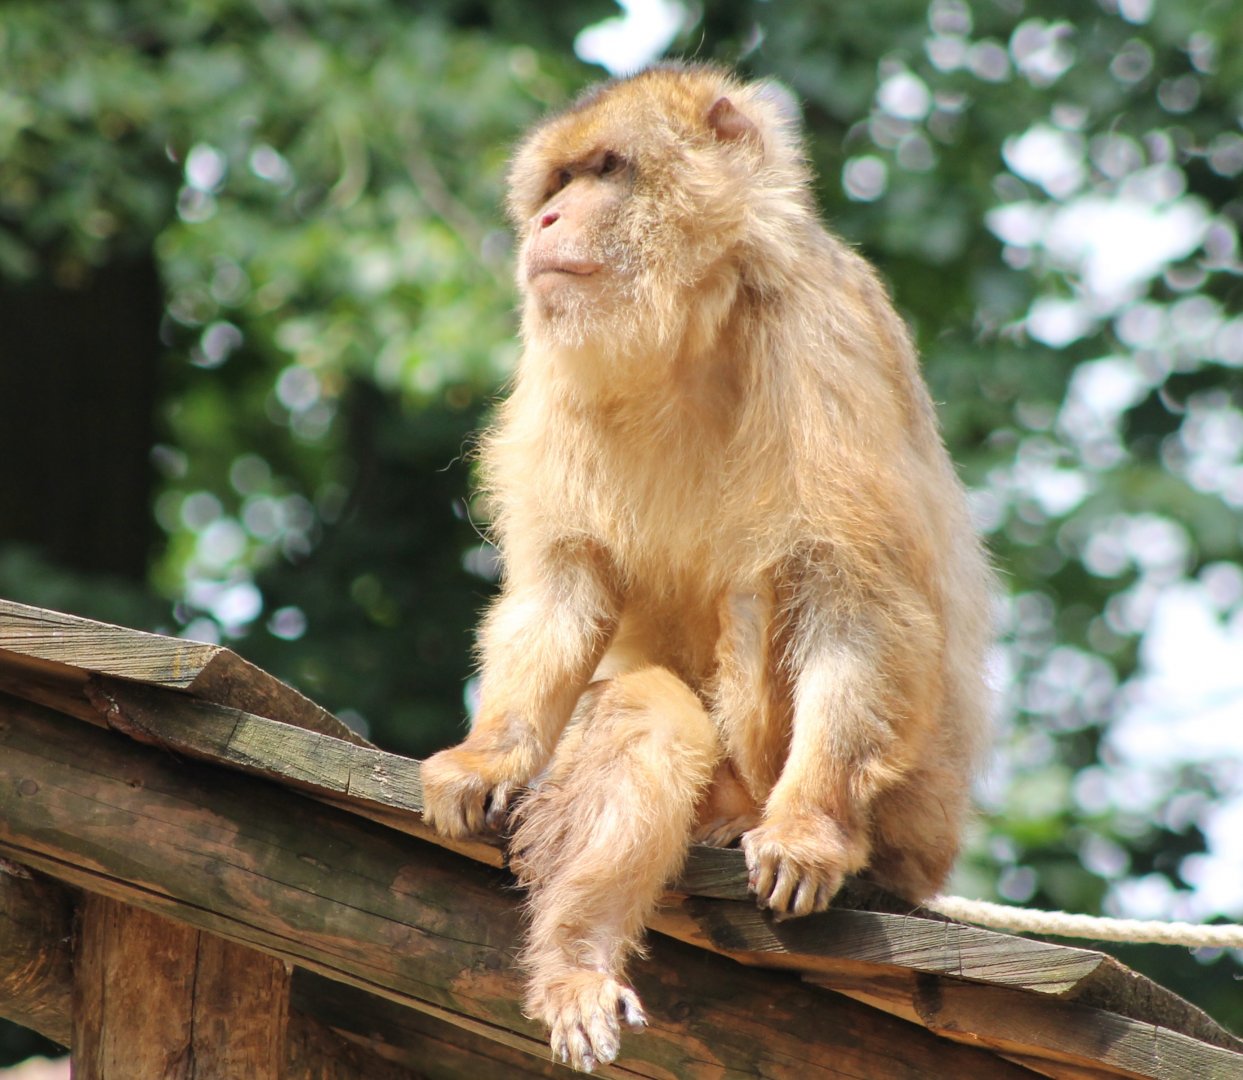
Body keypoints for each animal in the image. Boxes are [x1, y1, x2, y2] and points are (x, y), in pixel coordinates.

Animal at [421, 63, 994, 1072]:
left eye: (606, 171)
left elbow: (856, 600)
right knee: (642, 710)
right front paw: (489, 754)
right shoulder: (558, 368)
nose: (547, 220)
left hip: (912, 818)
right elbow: (561, 587)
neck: (689, 328)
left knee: (764, 587)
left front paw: (807, 828)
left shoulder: (823, 334)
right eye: (558, 181)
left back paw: (744, 815)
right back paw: (577, 962)